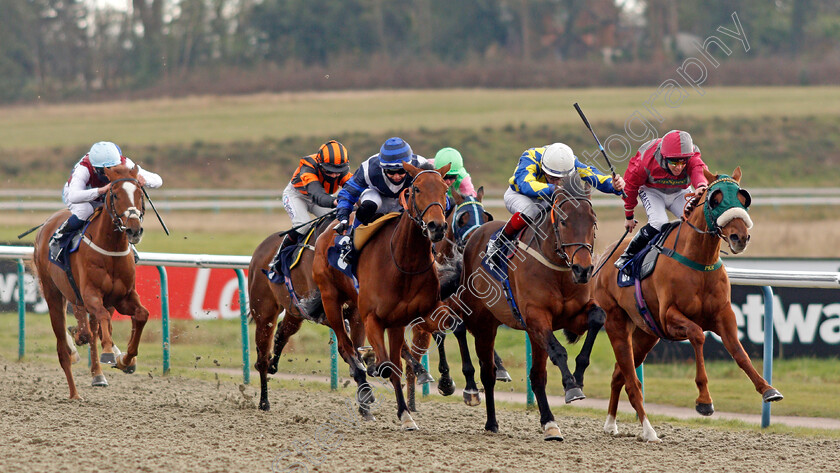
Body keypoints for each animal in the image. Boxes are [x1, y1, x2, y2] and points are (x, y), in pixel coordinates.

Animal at [32, 166, 149, 398]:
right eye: (115, 195)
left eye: (140, 193)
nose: (134, 229)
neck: (111, 249)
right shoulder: (90, 294)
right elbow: (102, 319)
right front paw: (109, 352)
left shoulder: (124, 296)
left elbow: (141, 315)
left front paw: (126, 359)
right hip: (53, 294)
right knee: (63, 348)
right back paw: (74, 393)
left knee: (92, 330)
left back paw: (98, 371)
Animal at [310, 161, 456, 428]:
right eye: (416, 189)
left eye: (444, 189)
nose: (437, 227)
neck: (403, 264)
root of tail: (327, 232)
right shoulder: (373, 319)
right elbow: (387, 366)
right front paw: (373, 366)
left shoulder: (421, 311)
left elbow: (441, 330)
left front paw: (443, 383)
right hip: (331, 300)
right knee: (346, 348)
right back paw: (365, 386)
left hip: (366, 313)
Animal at [450, 173, 608, 438]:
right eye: (563, 221)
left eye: (593, 221)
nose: (583, 269)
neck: (558, 270)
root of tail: (475, 235)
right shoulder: (536, 316)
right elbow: (559, 352)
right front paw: (571, 387)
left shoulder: (571, 315)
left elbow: (598, 318)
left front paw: (578, 376)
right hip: (480, 321)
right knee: (481, 363)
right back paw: (484, 410)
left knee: (534, 376)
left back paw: (547, 422)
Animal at [592, 167, 784, 442]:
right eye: (716, 199)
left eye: (743, 197)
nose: (740, 237)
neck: (699, 261)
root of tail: (604, 257)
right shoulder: (669, 317)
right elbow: (698, 335)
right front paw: (704, 401)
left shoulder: (723, 315)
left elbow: (739, 351)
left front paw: (768, 389)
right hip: (616, 322)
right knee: (630, 380)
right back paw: (648, 430)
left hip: (646, 334)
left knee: (619, 373)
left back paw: (611, 423)